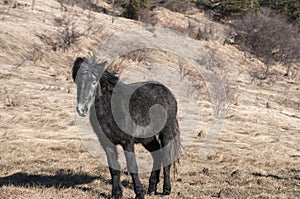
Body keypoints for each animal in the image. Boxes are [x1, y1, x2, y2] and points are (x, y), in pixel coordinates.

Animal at [72, 56, 180, 198]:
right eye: (78, 81)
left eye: (94, 82)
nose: (81, 109)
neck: (111, 108)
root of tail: (169, 93)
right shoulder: (107, 143)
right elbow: (113, 167)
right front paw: (116, 193)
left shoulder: (127, 142)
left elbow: (132, 166)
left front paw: (139, 193)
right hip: (148, 139)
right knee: (157, 154)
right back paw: (151, 188)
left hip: (166, 133)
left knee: (166, 159)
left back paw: (166, 190)